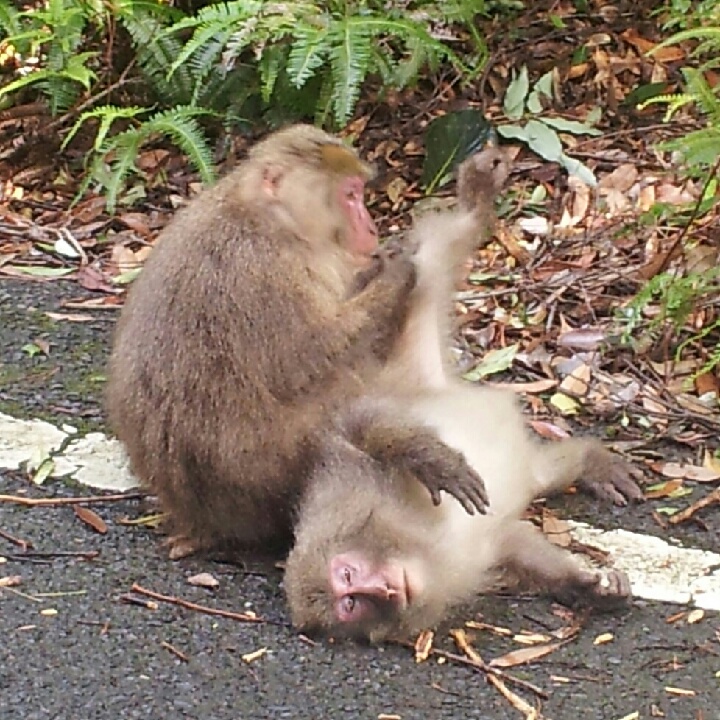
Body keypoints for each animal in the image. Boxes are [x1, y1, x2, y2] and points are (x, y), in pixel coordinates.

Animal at [108, 125, 490, 556]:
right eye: (350, 195)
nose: (371, 226)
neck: (269, 219)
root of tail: (203, 519)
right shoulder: (267, 270)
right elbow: (303, 362)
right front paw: (394, 274)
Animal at [284, 146, 644, 640]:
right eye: (350, 603)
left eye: (348, 576)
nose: (384, 592)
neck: (409, 545)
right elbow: (512, 544)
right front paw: (584, 586)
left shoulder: (345, 481)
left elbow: (353, 424)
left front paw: (429, 460)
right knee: (540, 471)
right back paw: (588, 462)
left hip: (405, 351)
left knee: (432, 260)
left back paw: (474, 205)